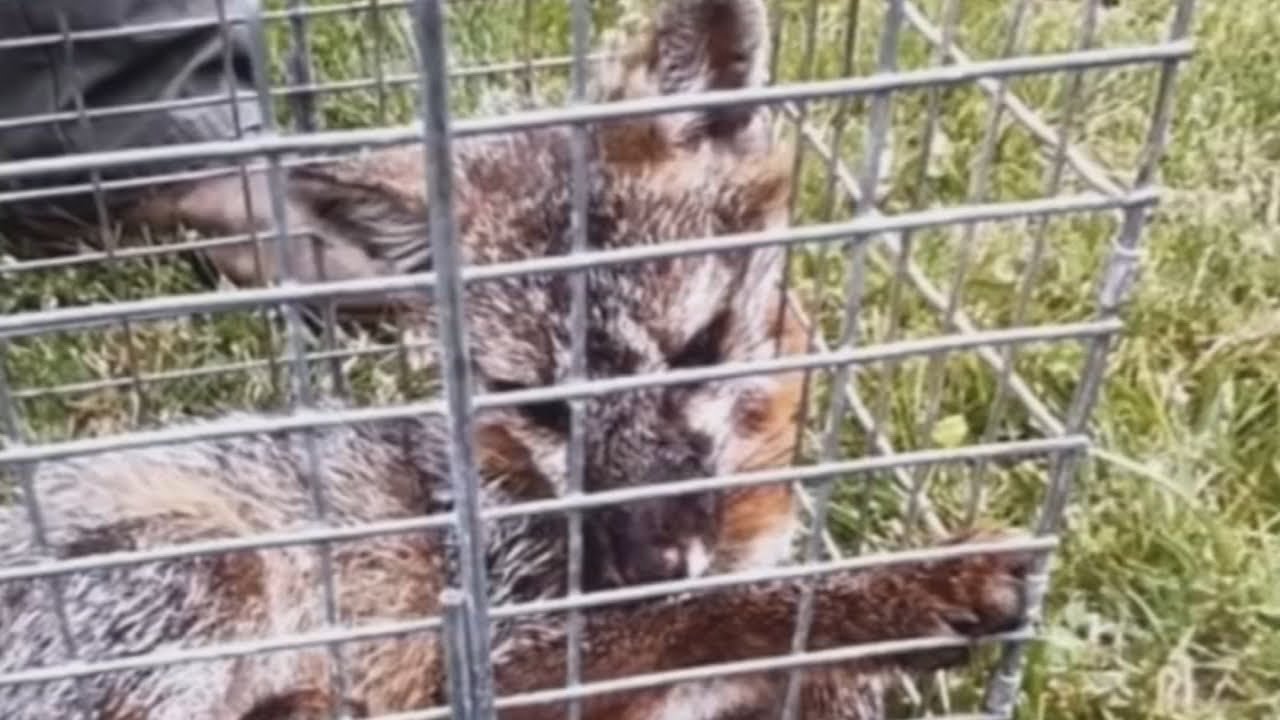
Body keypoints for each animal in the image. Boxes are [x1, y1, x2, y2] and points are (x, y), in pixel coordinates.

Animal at [0, 1, 1033, 718]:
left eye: (698, 347)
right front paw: (903, 591)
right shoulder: (511, 656)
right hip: (210, 564)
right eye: (535, 401)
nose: (652, 561)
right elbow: (718, 619)